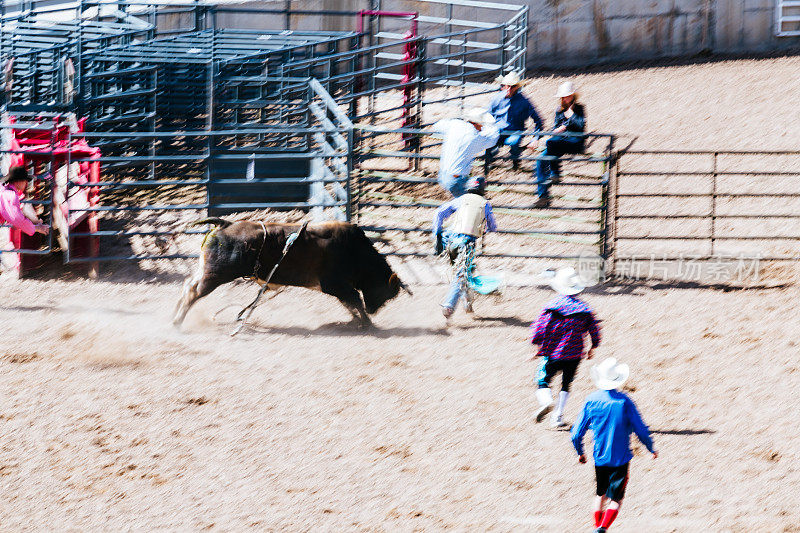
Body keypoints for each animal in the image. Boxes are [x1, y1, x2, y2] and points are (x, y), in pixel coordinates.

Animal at [173, 217, 410, 326]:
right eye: (384, 292)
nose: (374, 310)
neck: (354, 251)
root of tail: (225, 224)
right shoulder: (335, 284)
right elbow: (354, 300)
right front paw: (368, 323)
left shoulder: (338, 288)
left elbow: (350, 303)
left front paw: (360, 321)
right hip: (214, 275)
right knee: (193, 292)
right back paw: (177, 322)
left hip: (207, 271)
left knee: (188, 286)